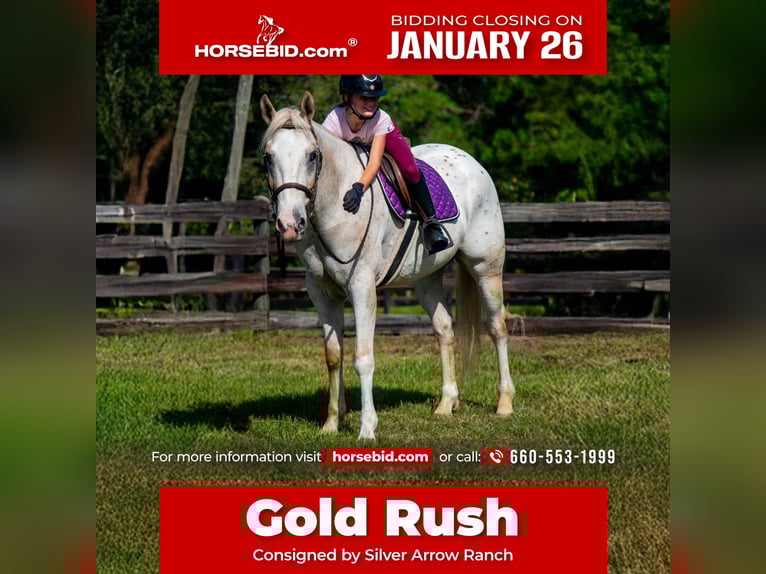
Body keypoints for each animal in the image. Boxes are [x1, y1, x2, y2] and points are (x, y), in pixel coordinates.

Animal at [259, 92, 514, 440]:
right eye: (268, 157)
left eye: (312, 156)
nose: (289, 223)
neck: (334, 206)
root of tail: (469, 160)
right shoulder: (321, 293)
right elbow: (333, 355)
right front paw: (331, 423)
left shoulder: (362, 288)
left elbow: (362, 357)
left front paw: (367, 428)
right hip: (427, 279)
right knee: (444, 329)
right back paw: (446, 404)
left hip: (485, 267)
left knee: (497, 327)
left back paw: (504, 403)